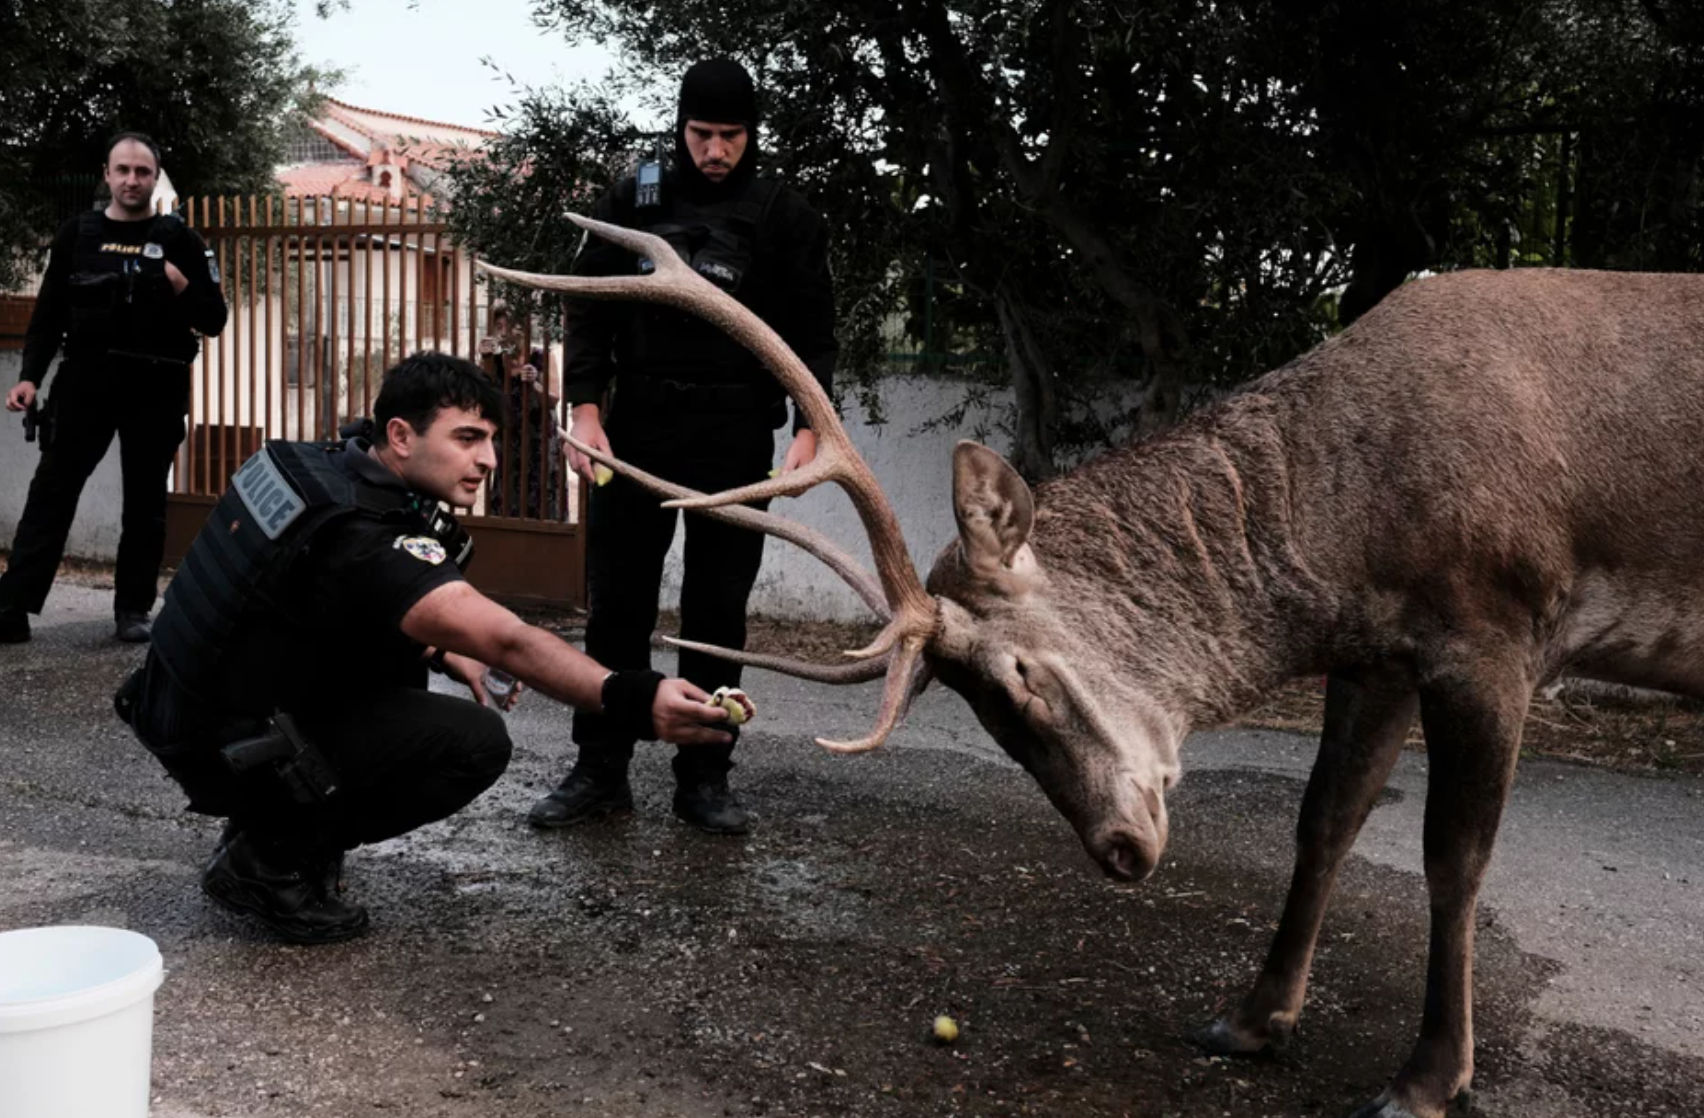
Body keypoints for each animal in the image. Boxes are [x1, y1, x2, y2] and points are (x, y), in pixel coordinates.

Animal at [477, 218, 1704, 1118]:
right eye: (984, 711)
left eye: (1020, 676)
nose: (1119, 849)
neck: (1353, 533)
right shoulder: (1381, 652)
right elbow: (1324, 820)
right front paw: (1249, 1018)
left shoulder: (1495, 626)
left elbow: (1454, 857)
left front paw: (1426, 1078)